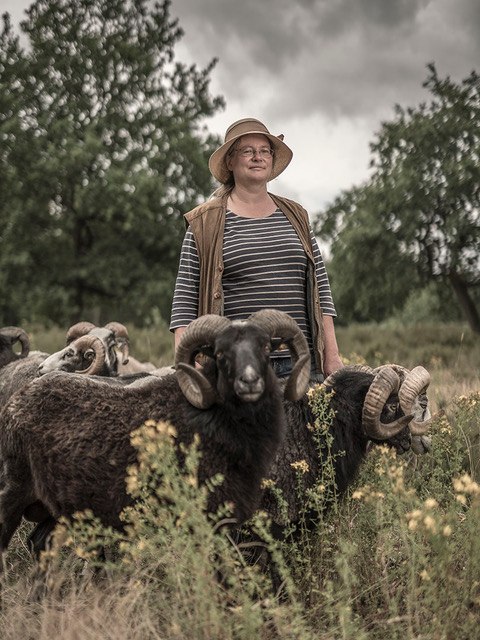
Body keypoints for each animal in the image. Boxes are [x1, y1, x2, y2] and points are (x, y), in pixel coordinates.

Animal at [0, 310, 312, 568]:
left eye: (267, 347)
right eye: (220, 353)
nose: (249, 381)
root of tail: (18, 397)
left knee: (40, 544)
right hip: (12, 491)